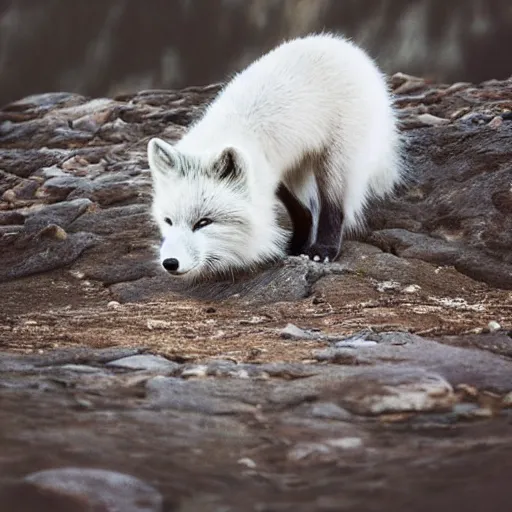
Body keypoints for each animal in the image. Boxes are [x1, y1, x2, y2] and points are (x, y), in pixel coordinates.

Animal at [148, 33, 404, 280]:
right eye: (168, 221)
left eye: (203, 222)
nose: (170, 263)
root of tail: (346, 47)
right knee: (306, 210)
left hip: (334, 161)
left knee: (333, 207)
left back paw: (323, 250)